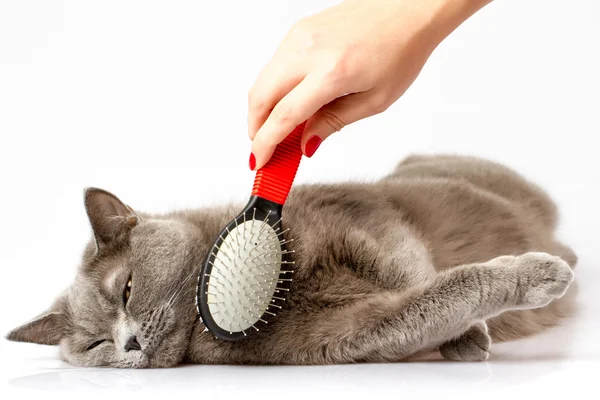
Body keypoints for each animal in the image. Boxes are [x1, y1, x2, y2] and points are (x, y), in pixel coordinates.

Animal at [5, 155, 576, 368]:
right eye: (94, 345)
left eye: (125, 289)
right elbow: (434, 298)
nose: (128, 344)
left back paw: (564, 255)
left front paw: (474, 331)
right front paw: (472, 326)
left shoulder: (361, 214)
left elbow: (411, 268)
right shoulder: (338, 336)